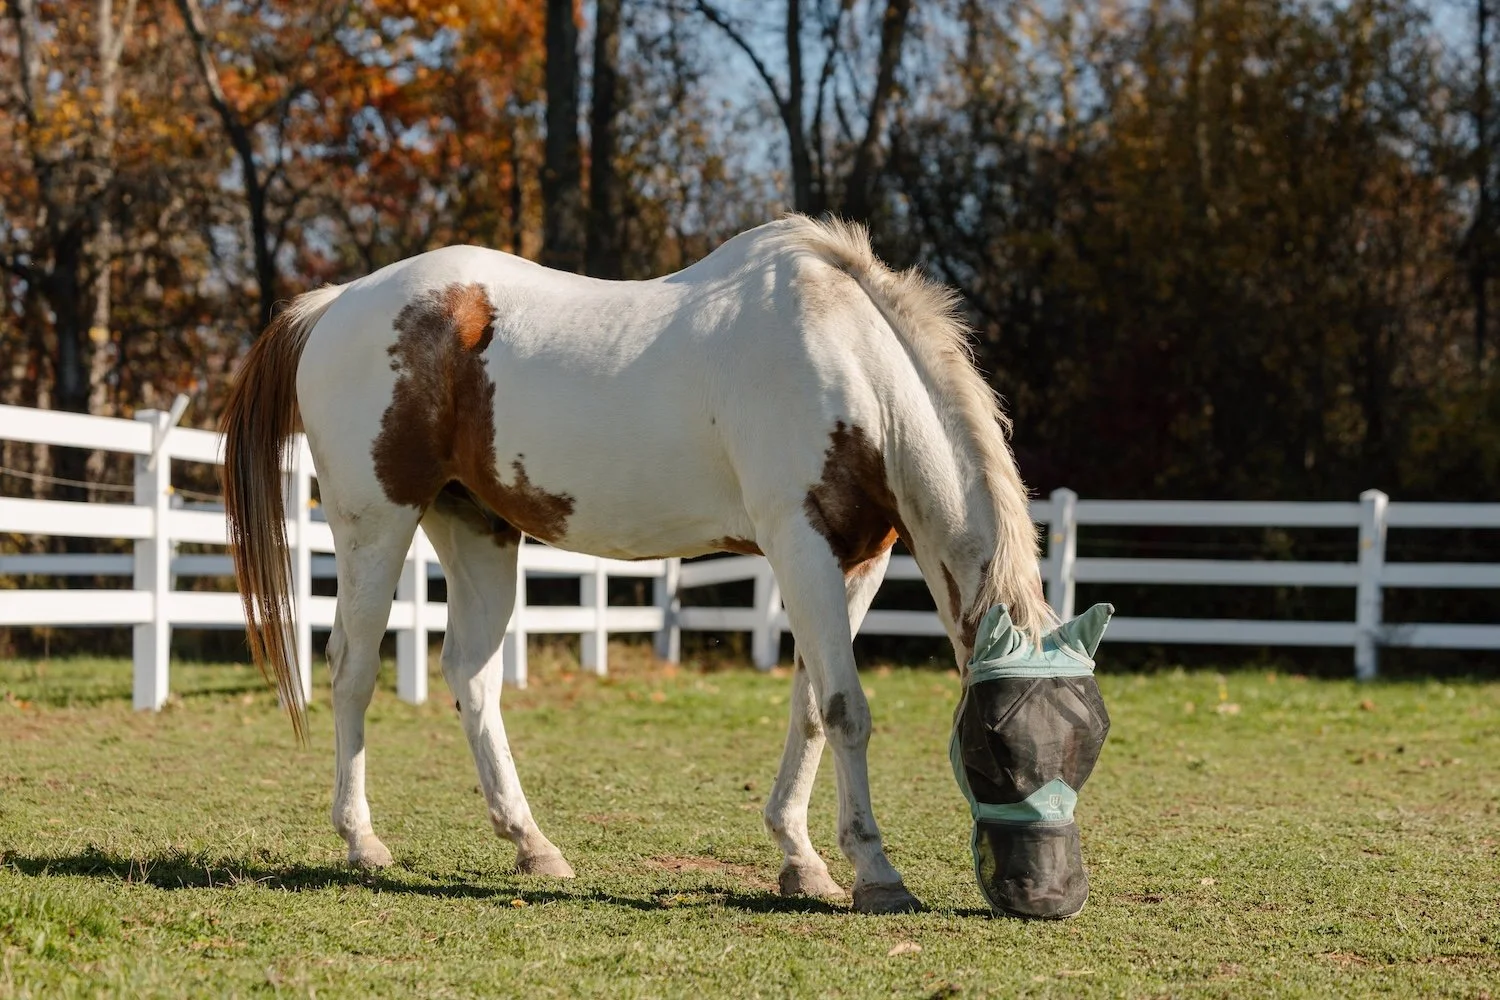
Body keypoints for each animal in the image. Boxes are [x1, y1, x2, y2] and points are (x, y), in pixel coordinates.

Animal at [221, 215, 1061, 915]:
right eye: (1000, 750)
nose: (1048, 898)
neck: (844, 357)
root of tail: (336, 303)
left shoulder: (859, 561)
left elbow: (812, 708)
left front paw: (802, 861)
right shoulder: (801, 544)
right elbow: (846, 708)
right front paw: (877, 876)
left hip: (476, 527)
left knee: (471, 674)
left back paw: (533, 845)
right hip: (376, 525)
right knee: (352, 668)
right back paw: (362, 839)